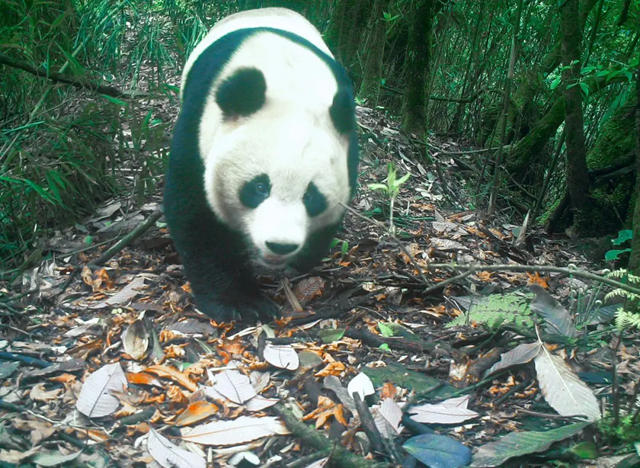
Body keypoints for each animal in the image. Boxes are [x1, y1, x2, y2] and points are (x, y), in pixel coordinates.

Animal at [162, 8, 358, 322]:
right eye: (258, 187)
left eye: (311, 196)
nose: (280, 245)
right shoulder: (199, 127)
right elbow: (196, 214)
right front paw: (240, 303)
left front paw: (302, 260)